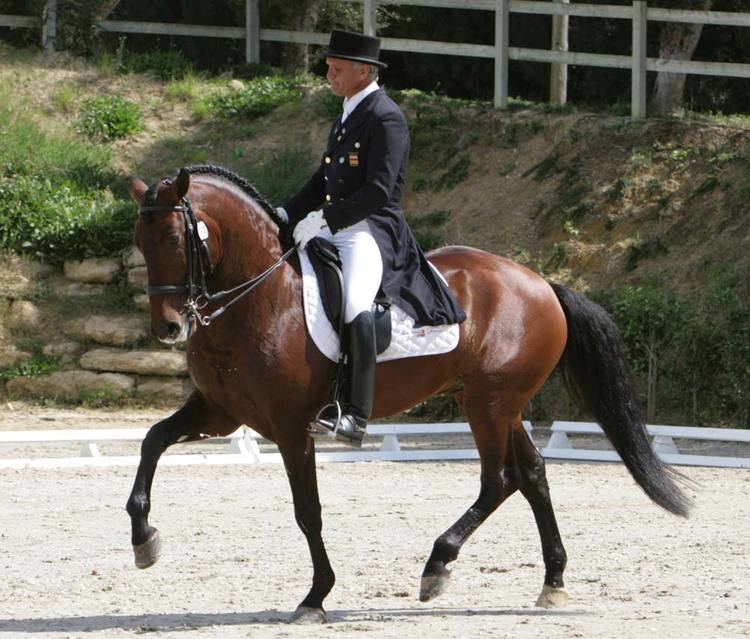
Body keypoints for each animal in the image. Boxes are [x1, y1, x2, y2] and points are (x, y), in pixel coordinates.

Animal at [125, 165, 692, 624]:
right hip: (499, 403)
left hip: (488, 404)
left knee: (499, 479)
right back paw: (552, 582)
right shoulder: (220, 412)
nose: (168, 328)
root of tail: (542, 284)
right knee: (532, 474)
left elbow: (308, 510)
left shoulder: (290, 427)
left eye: (174, 239)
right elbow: (151, 441)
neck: (259, 297)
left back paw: (437, 565)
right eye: (140, 241)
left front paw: (316, 596)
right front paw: (143, 539)